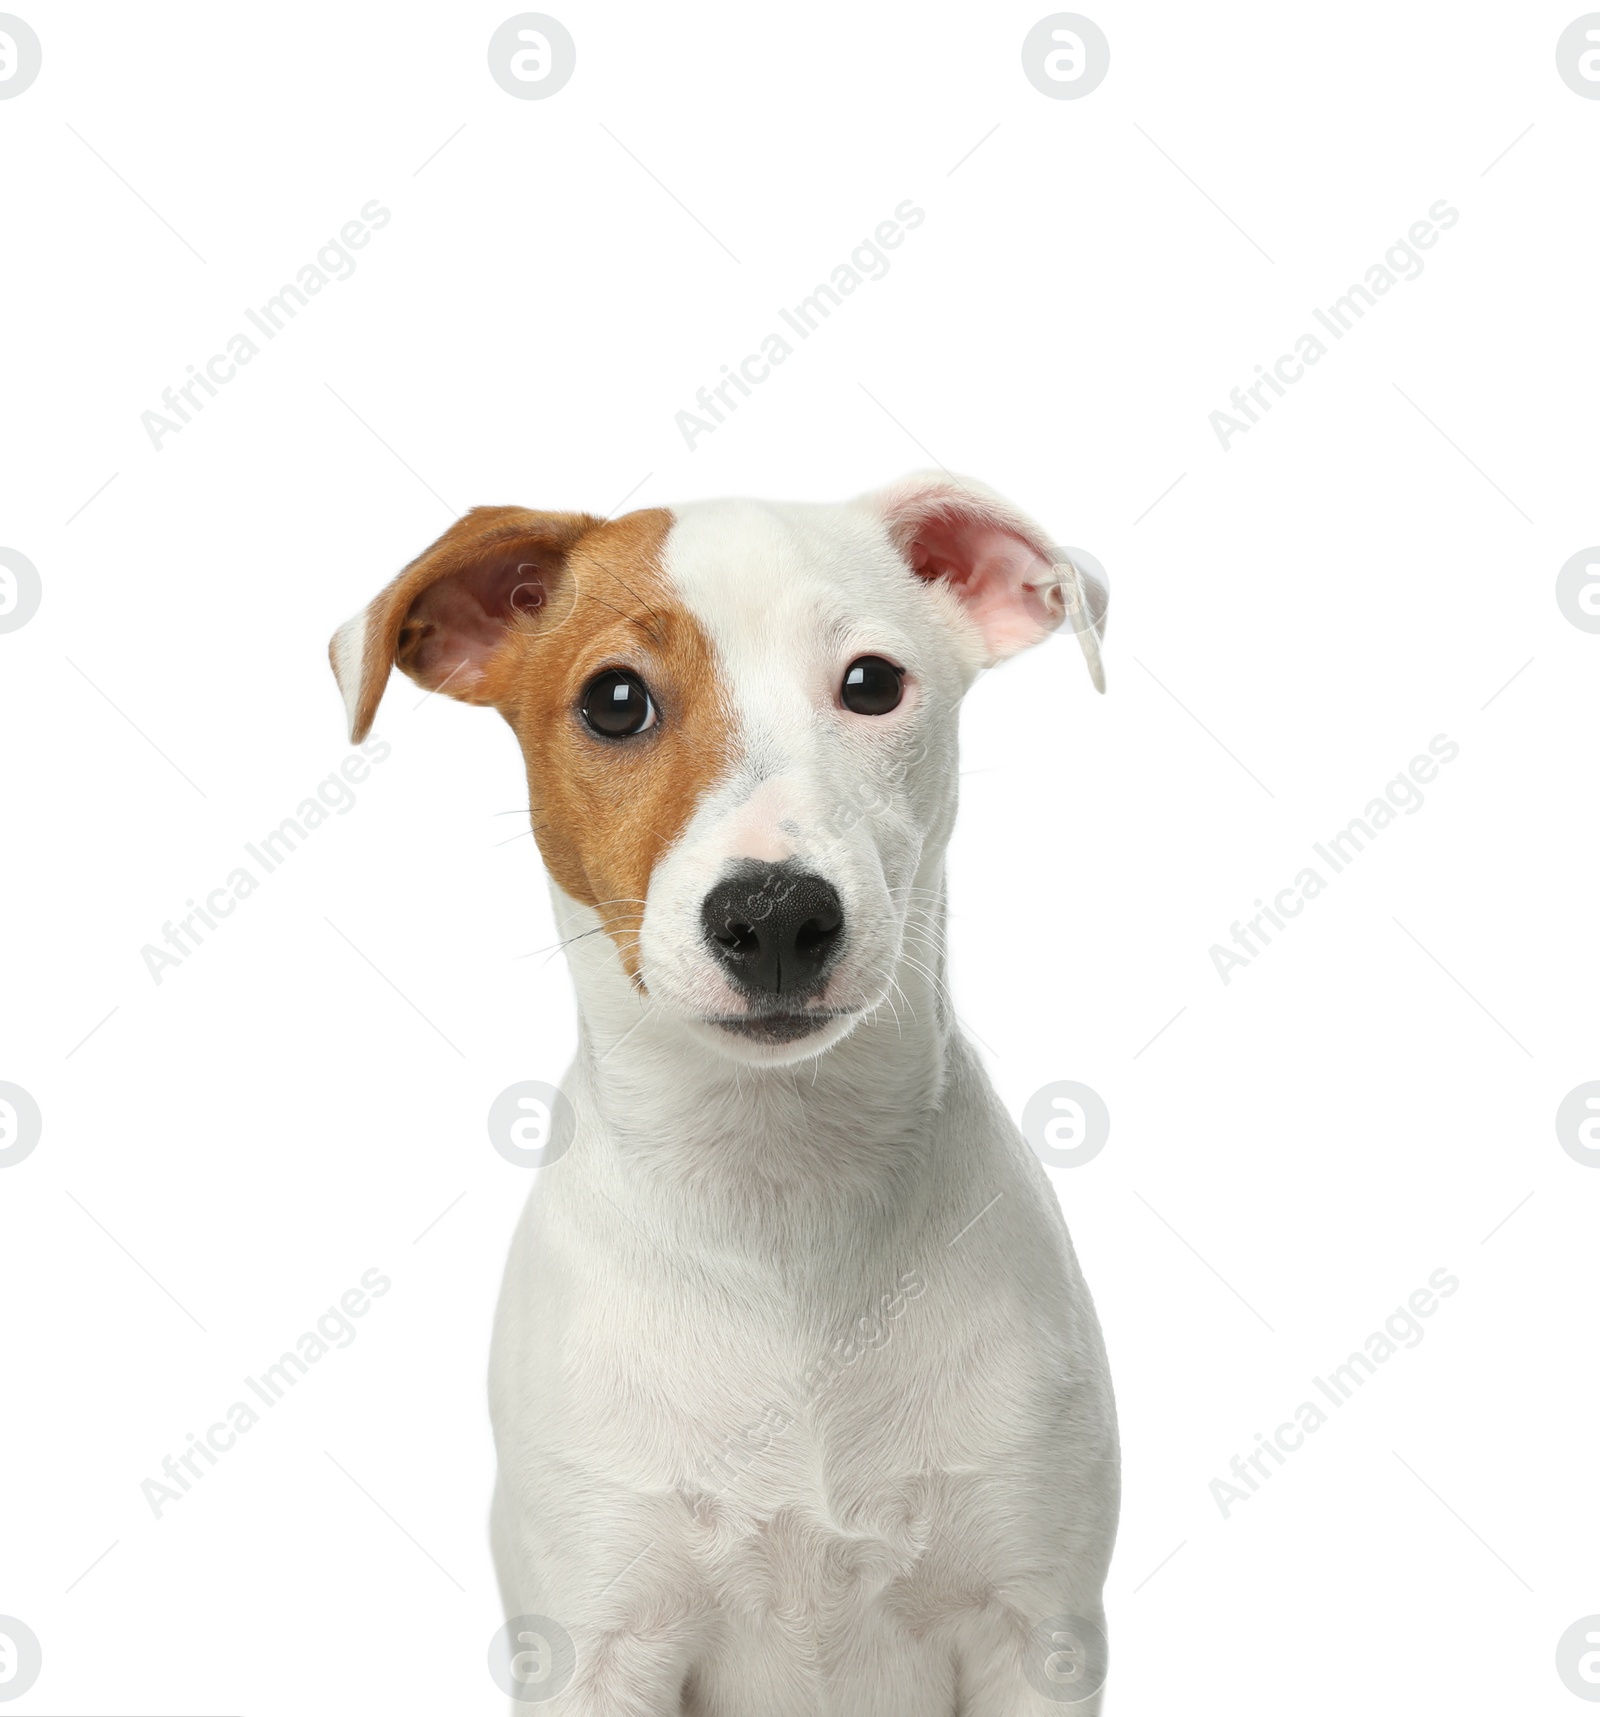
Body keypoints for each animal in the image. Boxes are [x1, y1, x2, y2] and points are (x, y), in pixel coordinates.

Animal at [331, 473, 1119, 1717]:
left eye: (871, 683)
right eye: (614, 701)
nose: (779, 913)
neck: (776, 1189)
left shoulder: (1032, 1633)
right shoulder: (598, 1643)